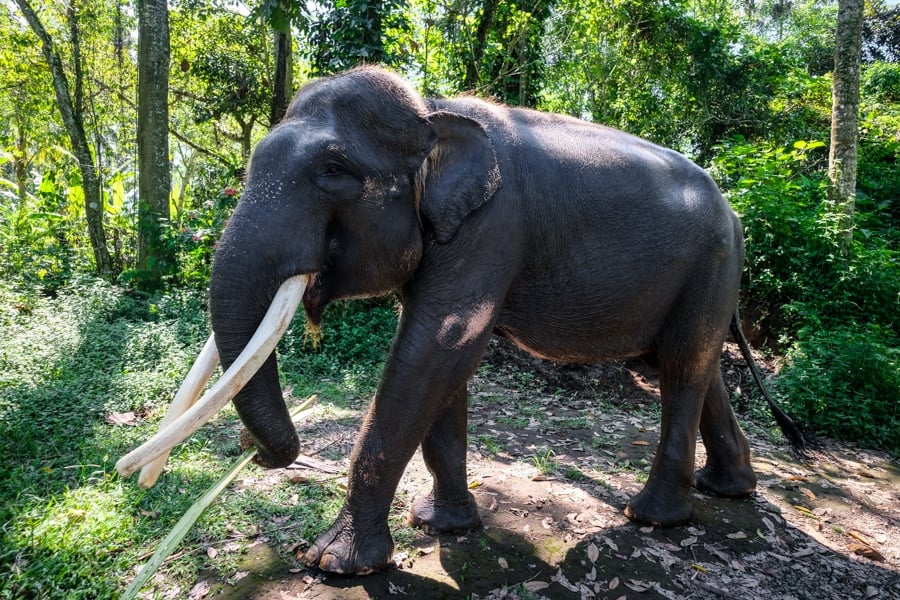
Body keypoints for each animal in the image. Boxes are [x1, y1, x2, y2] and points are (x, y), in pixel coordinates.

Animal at [209, 67, 800, 576]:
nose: (255, 453)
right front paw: (442, 525)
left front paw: (335, 562)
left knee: (681, 367)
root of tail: (734, 213)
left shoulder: (492, 225)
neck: (431, 109)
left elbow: (437, 345)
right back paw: (727, 488)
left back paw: (653, 516)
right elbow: (443, 361)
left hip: (712, 264)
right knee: (694, 365)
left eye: (332, 172)